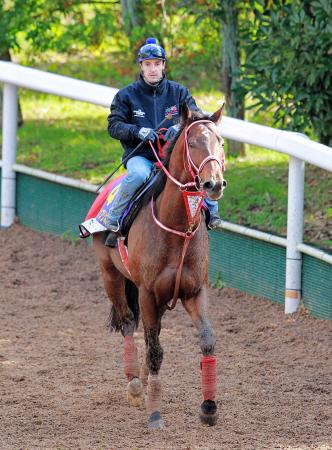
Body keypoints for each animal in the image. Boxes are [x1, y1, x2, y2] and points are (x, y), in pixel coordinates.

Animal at [93, 103, 228, 428]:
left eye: (220, 142)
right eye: (192, 142)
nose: (214, 184)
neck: (177, 228)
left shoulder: (194, 291)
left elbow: (207, 340)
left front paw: (209, 408)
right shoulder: (147, 293)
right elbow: (155, 349)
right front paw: (154, 412)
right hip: (110, 275)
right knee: (128, 322)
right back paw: (134, 384)